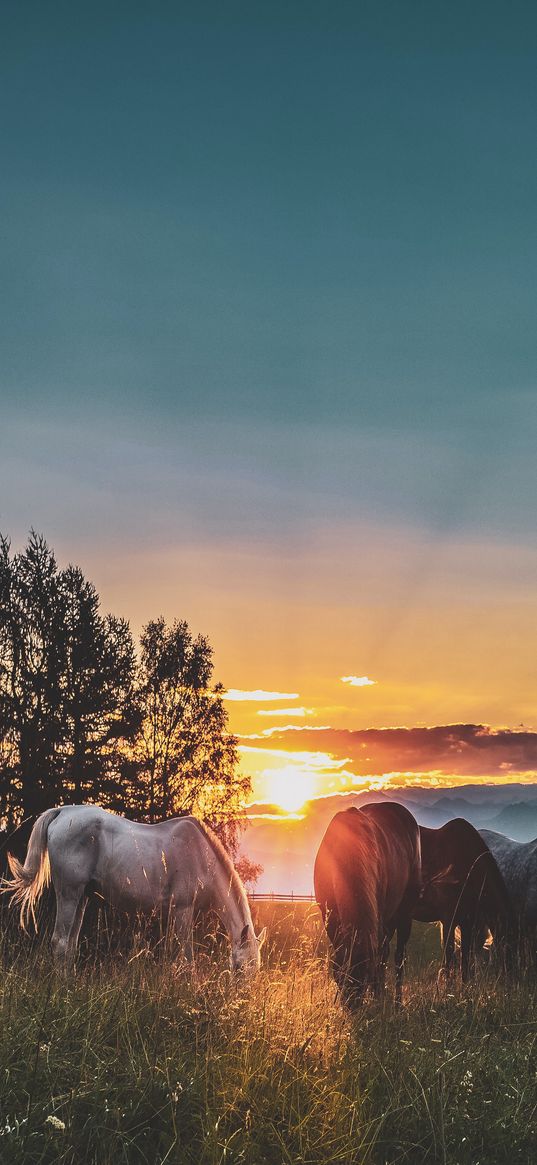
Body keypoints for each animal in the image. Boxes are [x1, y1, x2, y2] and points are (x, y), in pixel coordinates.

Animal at [3, 801, 264, 973]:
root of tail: (61, 812)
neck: (201, 856)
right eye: (240, 968)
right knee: (60, 942)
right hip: (69, 893)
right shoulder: (182, 910)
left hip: (81, 897)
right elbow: (187, 960)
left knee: (70, 947)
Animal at [312, 806, 421, 1006]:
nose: (352, 1008)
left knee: (397, 957)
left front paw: (377, 996)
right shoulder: (330, 918)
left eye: (364, 979)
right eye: (340, 978)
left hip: (404, 915)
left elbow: (380, 959)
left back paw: (396, 1002)